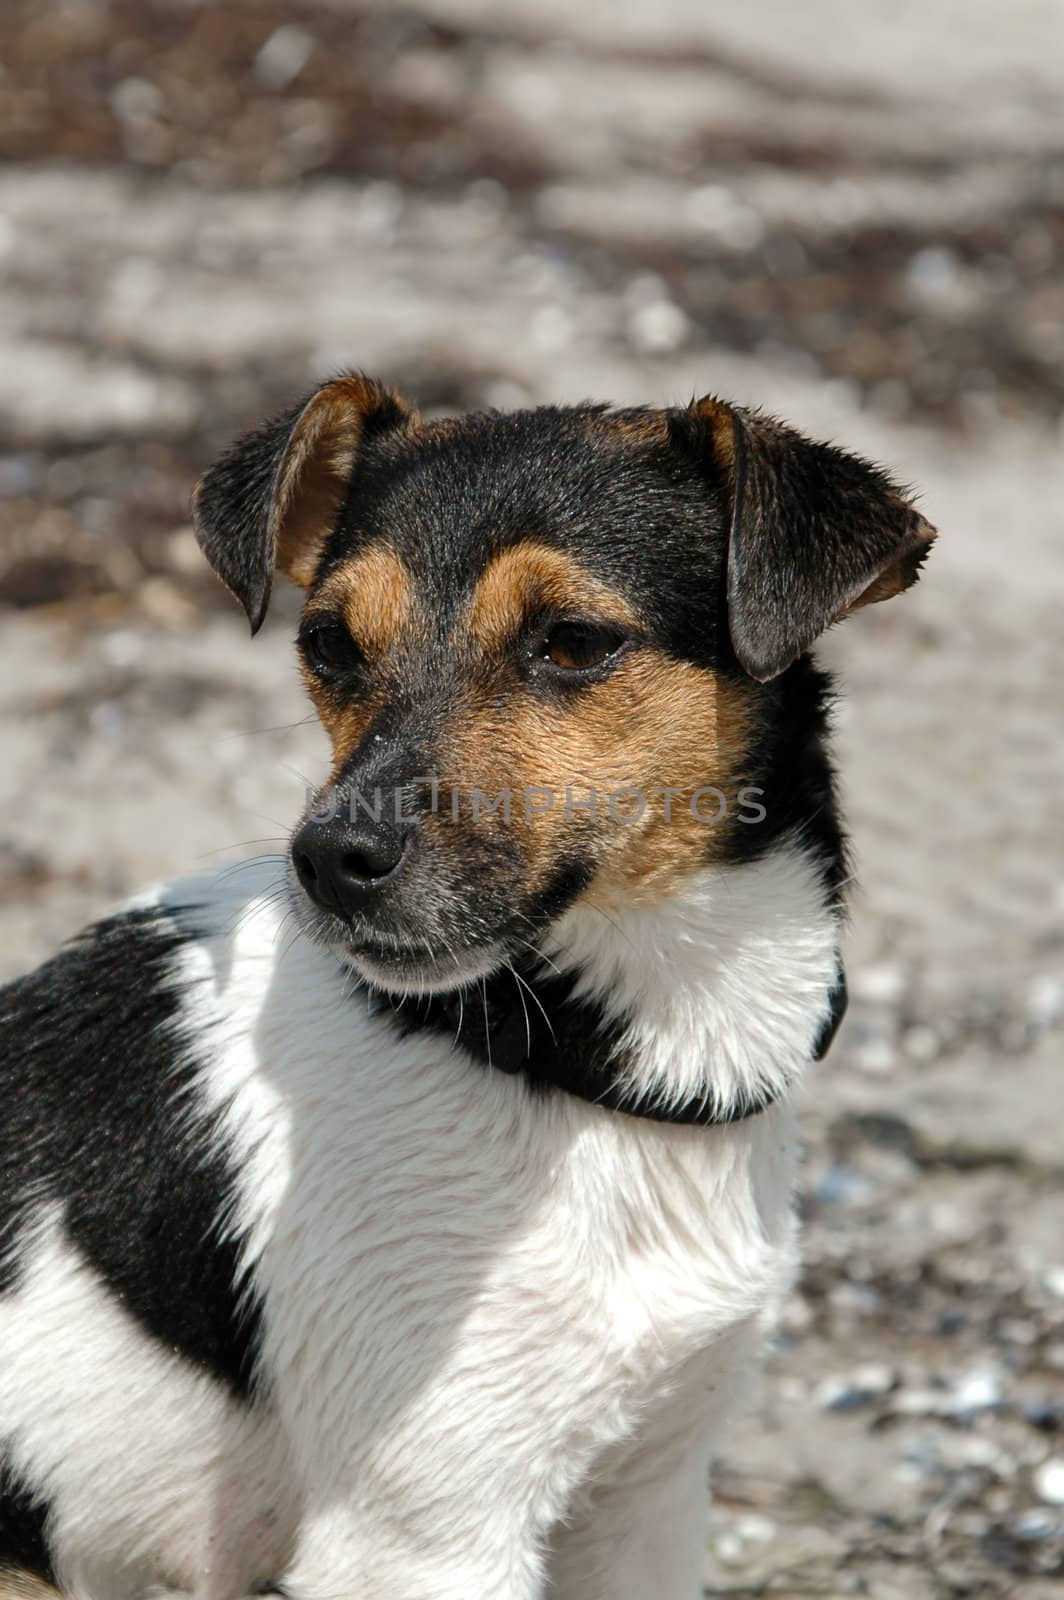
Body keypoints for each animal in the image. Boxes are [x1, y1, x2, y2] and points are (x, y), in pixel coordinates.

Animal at [0, 377, 928, 1600]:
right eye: (328, 644)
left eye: (573, 642)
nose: (328, 860)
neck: (574, 1066)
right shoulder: (424, 1536)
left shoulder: (648, 1499)